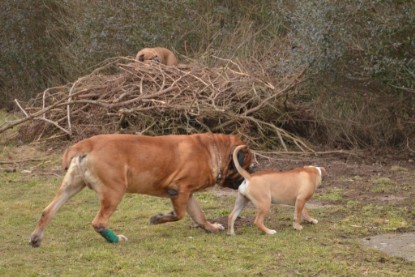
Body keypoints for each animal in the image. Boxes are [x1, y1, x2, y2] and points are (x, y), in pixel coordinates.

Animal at [29, 133, 252, 246]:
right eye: (246, 165)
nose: (250, 175)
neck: (212, 150)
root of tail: (88, 144)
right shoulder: (179, 190)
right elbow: (179, 214)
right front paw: (158, 218)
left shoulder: (188, 194)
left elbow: (199, 216)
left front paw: (211, 227)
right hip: (114, 191)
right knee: (98, 222)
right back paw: (116, 239)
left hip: (71, 186)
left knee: (47, 211)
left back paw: (36, 238)